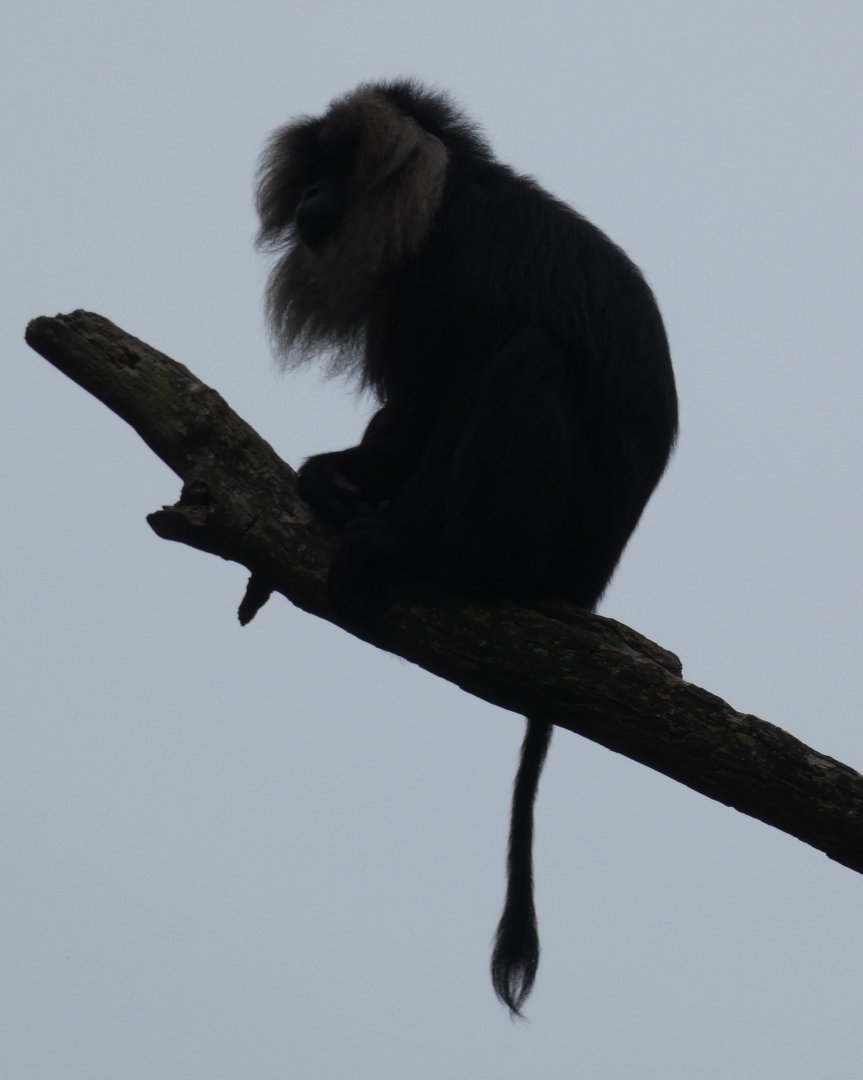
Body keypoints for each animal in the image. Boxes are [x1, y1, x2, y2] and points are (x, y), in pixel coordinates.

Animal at [255, 79, 678, 1016]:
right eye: (311, 172)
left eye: (335, 170)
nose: (308, 197)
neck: (440, 201)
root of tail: (585, 586)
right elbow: (402, 415)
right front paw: (330, 479)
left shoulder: (451, 267)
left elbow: (441, 396)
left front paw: (374, 521)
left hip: (547, 534)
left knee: (525, 358)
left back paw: (433, 554)